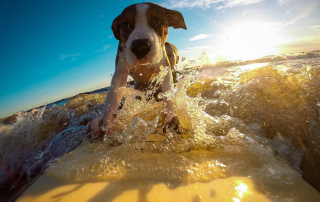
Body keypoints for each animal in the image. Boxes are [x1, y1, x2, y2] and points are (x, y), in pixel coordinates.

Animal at [86, 2, 186, 139]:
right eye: (125, 25)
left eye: (157, 21)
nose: (140, 46)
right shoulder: (121, 70)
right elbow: (113, 94)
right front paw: (107, 121)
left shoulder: (164, 68)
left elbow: (167, 93)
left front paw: (170, 116)